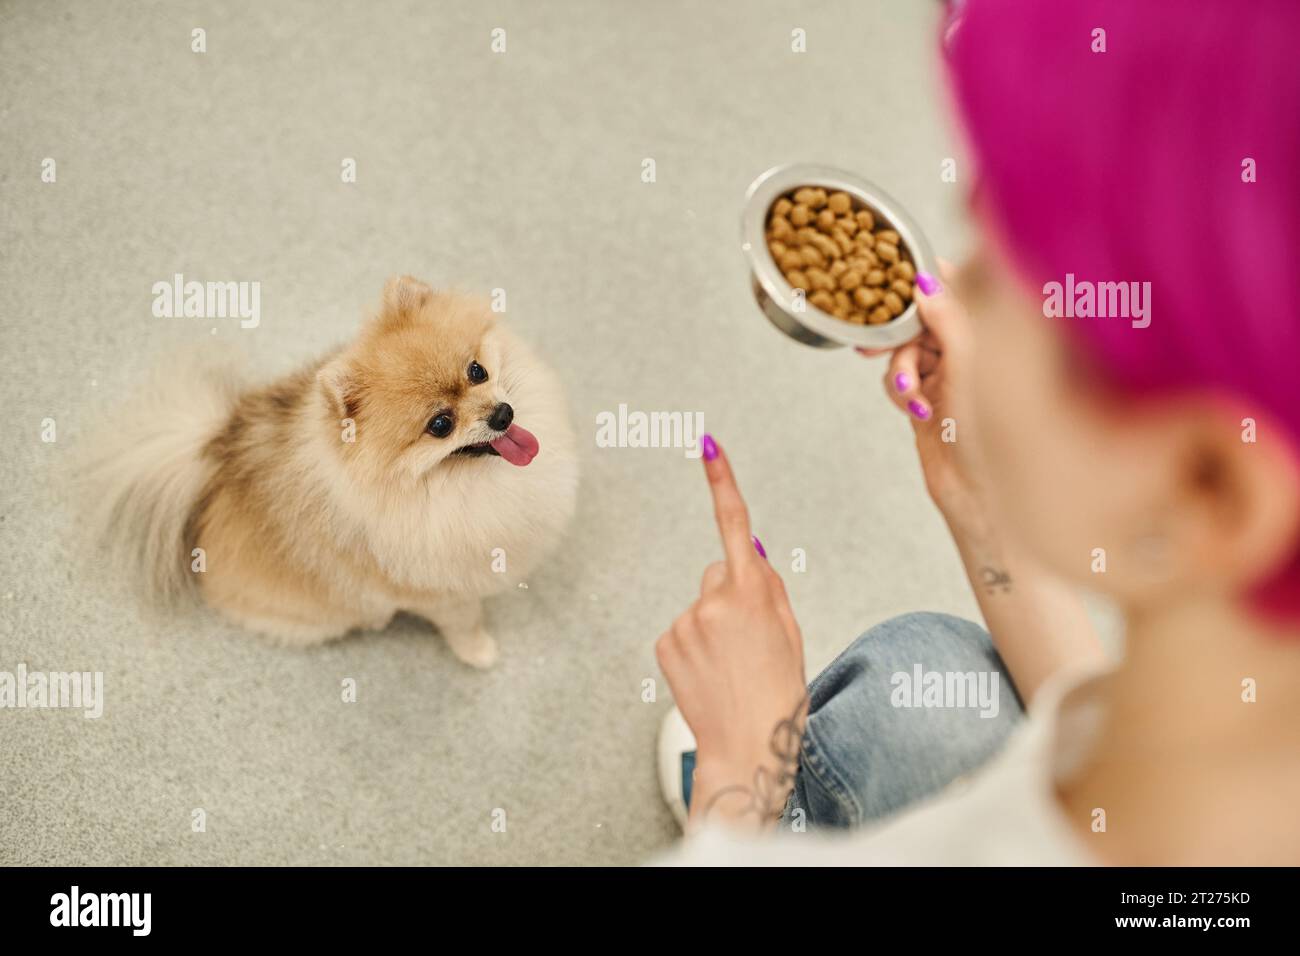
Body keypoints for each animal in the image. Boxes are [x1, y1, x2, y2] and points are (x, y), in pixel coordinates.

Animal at [85, 274, 579, 665]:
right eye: (440, 425)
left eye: (477, 370)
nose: (502, 415)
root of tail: (218, 454)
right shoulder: (438, 594)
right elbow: (464, 622)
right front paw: (479, 653)